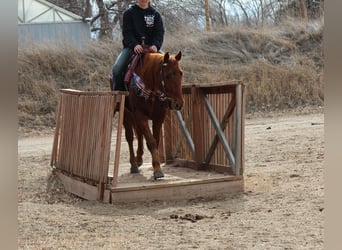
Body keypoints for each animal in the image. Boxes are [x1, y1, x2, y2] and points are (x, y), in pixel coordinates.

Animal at [117, 51, 183, 180]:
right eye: (167, 75)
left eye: (181, 73)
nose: (178, 104)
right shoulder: (139, 114)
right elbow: (151, 141)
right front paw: (157, 170)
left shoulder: (159, 117)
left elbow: (155, 141)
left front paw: (156, 166)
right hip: (127, 114)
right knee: (130, 137)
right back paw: (134, 165)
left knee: (139, 134)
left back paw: (138, 159)